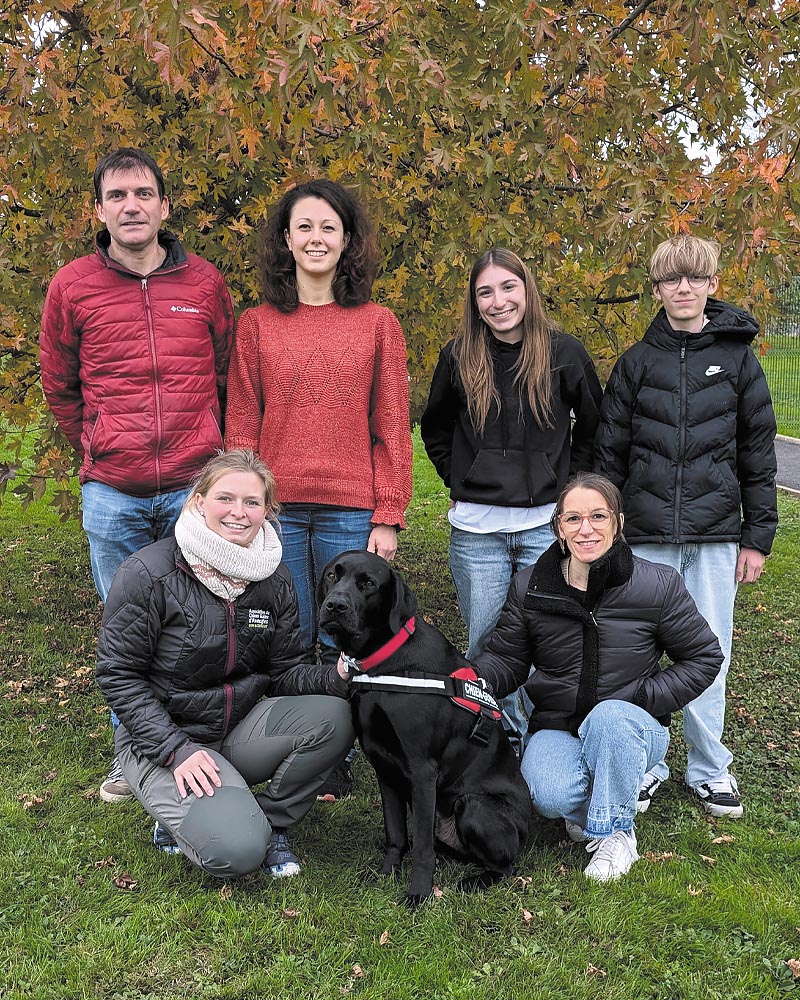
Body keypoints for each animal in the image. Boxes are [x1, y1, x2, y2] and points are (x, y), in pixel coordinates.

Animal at [318, 552, 532, 904]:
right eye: (332, 575)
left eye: (368, 583)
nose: (334, 605)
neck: (384, 663)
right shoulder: (385, 766)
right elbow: (395, 833)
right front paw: (386, 874)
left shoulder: (421, 769)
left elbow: (419, 847)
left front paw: (418, 893)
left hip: (474, 805)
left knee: (506, 866)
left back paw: (475, 881)